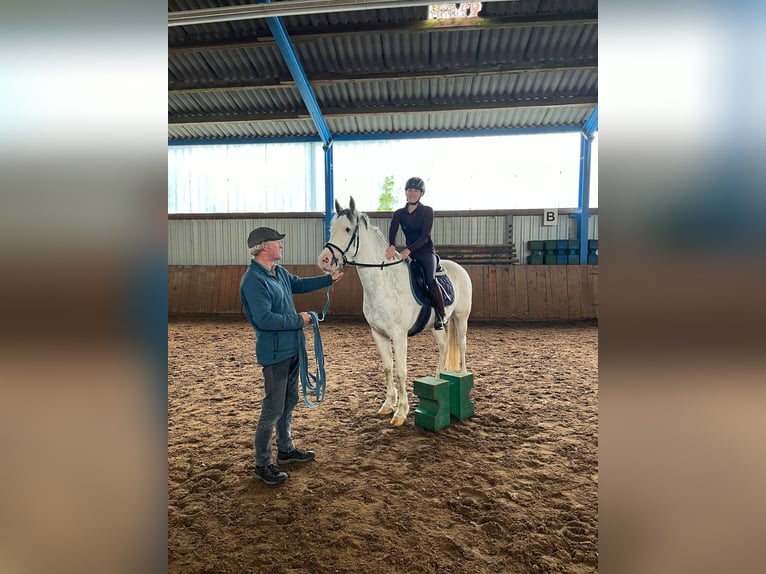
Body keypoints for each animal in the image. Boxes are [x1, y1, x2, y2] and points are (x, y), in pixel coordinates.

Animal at [316, 198, 472, 428]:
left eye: (347, 229)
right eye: (331, 228)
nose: (324, 260)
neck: (383, 281)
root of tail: (459, 268)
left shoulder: (399, 336)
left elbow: (400, 371)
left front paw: (401, 412)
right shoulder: (378, 334)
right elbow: (388, 368)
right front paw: (388, 404)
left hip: (461, 318)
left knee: (461, 345)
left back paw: (461, 375)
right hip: (437, 325)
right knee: (444, 346)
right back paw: (438, 379)